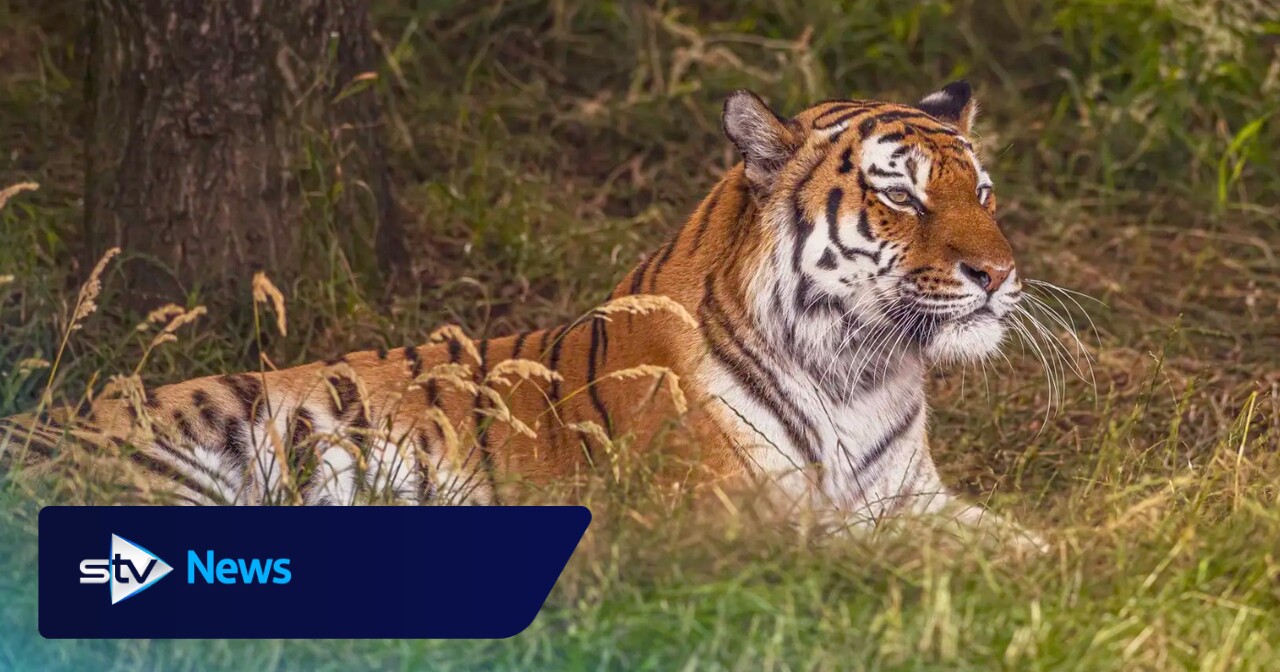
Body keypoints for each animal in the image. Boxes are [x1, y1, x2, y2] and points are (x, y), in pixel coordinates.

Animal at [3, 82, 1044, 548]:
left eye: (984, 192)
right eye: (902, 196)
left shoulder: (915, 494)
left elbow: (1023, 542)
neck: (860, 371)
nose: (999, 273)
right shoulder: (730, 520)